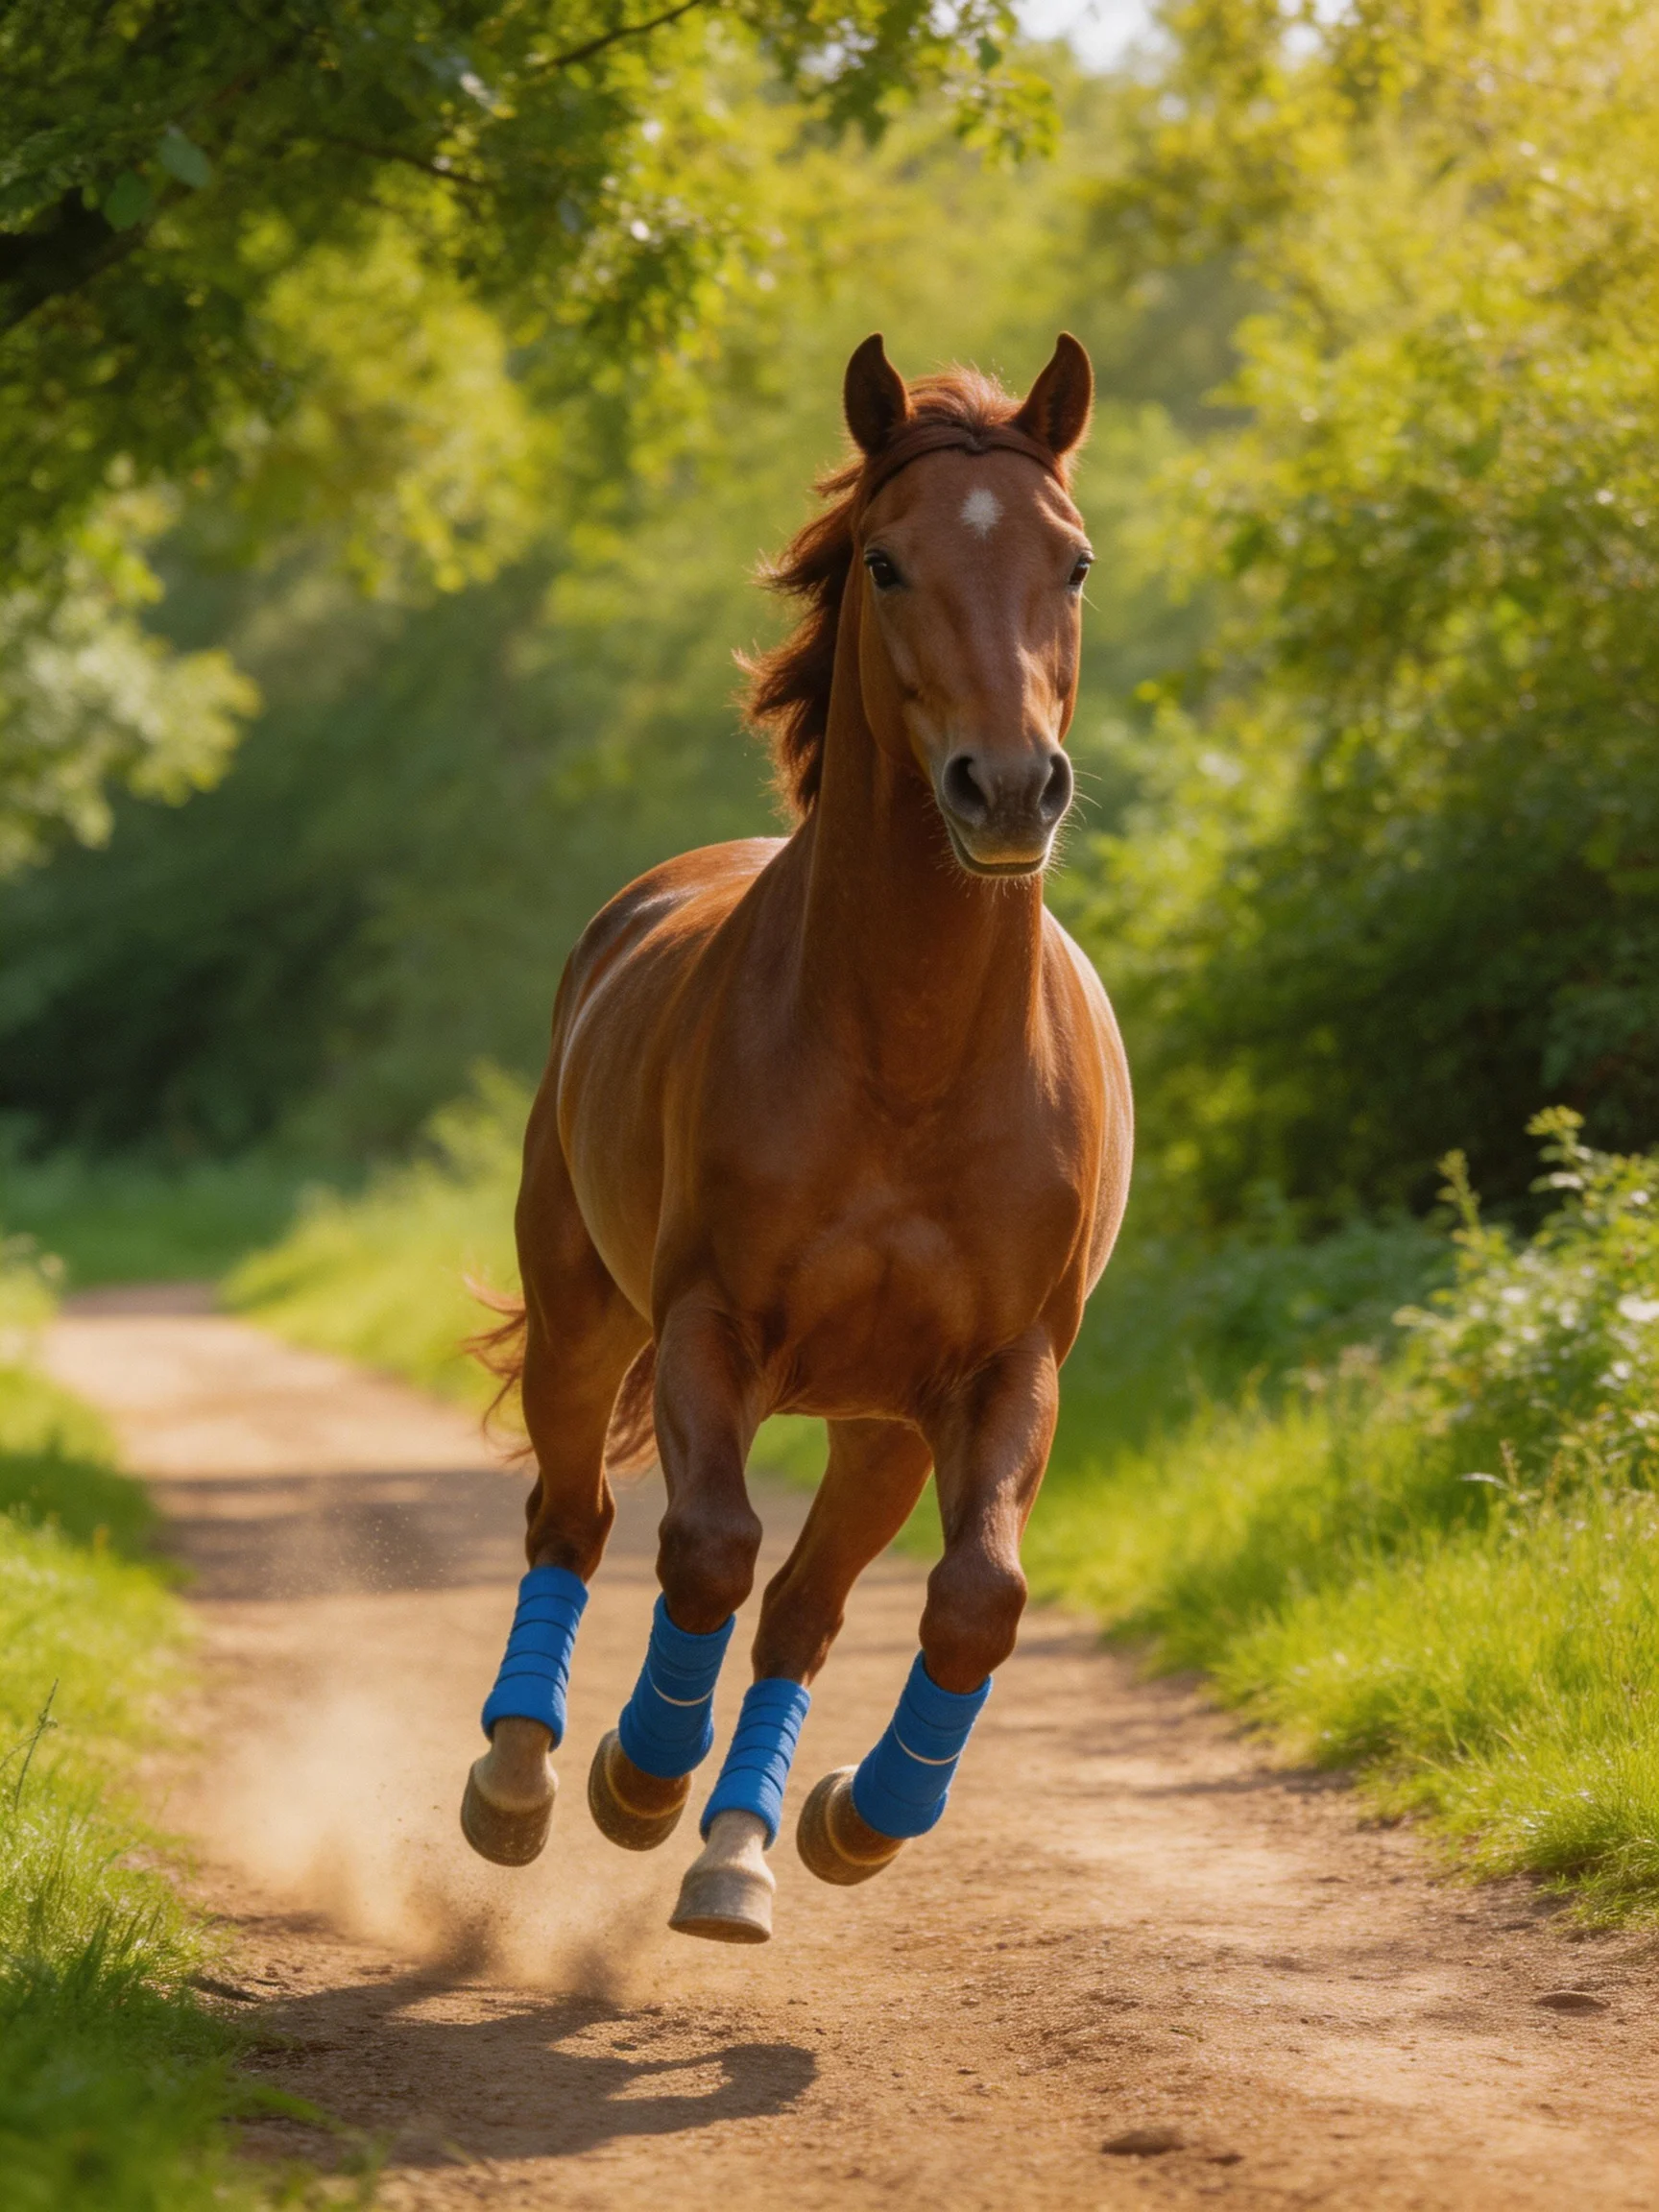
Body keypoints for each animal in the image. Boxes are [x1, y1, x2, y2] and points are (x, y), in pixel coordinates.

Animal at [460, 332, 1133, 1943]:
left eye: (1073, 561)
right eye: (886, 563)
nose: (1008, 788)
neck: (910, 1057)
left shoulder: (1001, 1372)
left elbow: (974, 1602)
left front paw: (853, 1819)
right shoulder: (712, 1328)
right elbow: (703, 1550)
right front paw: (638, 1776)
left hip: (880, 1429)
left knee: (813, 1611)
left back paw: (746, 1846)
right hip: (584, 1320)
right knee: (571, 1519)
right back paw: (526, 1779)